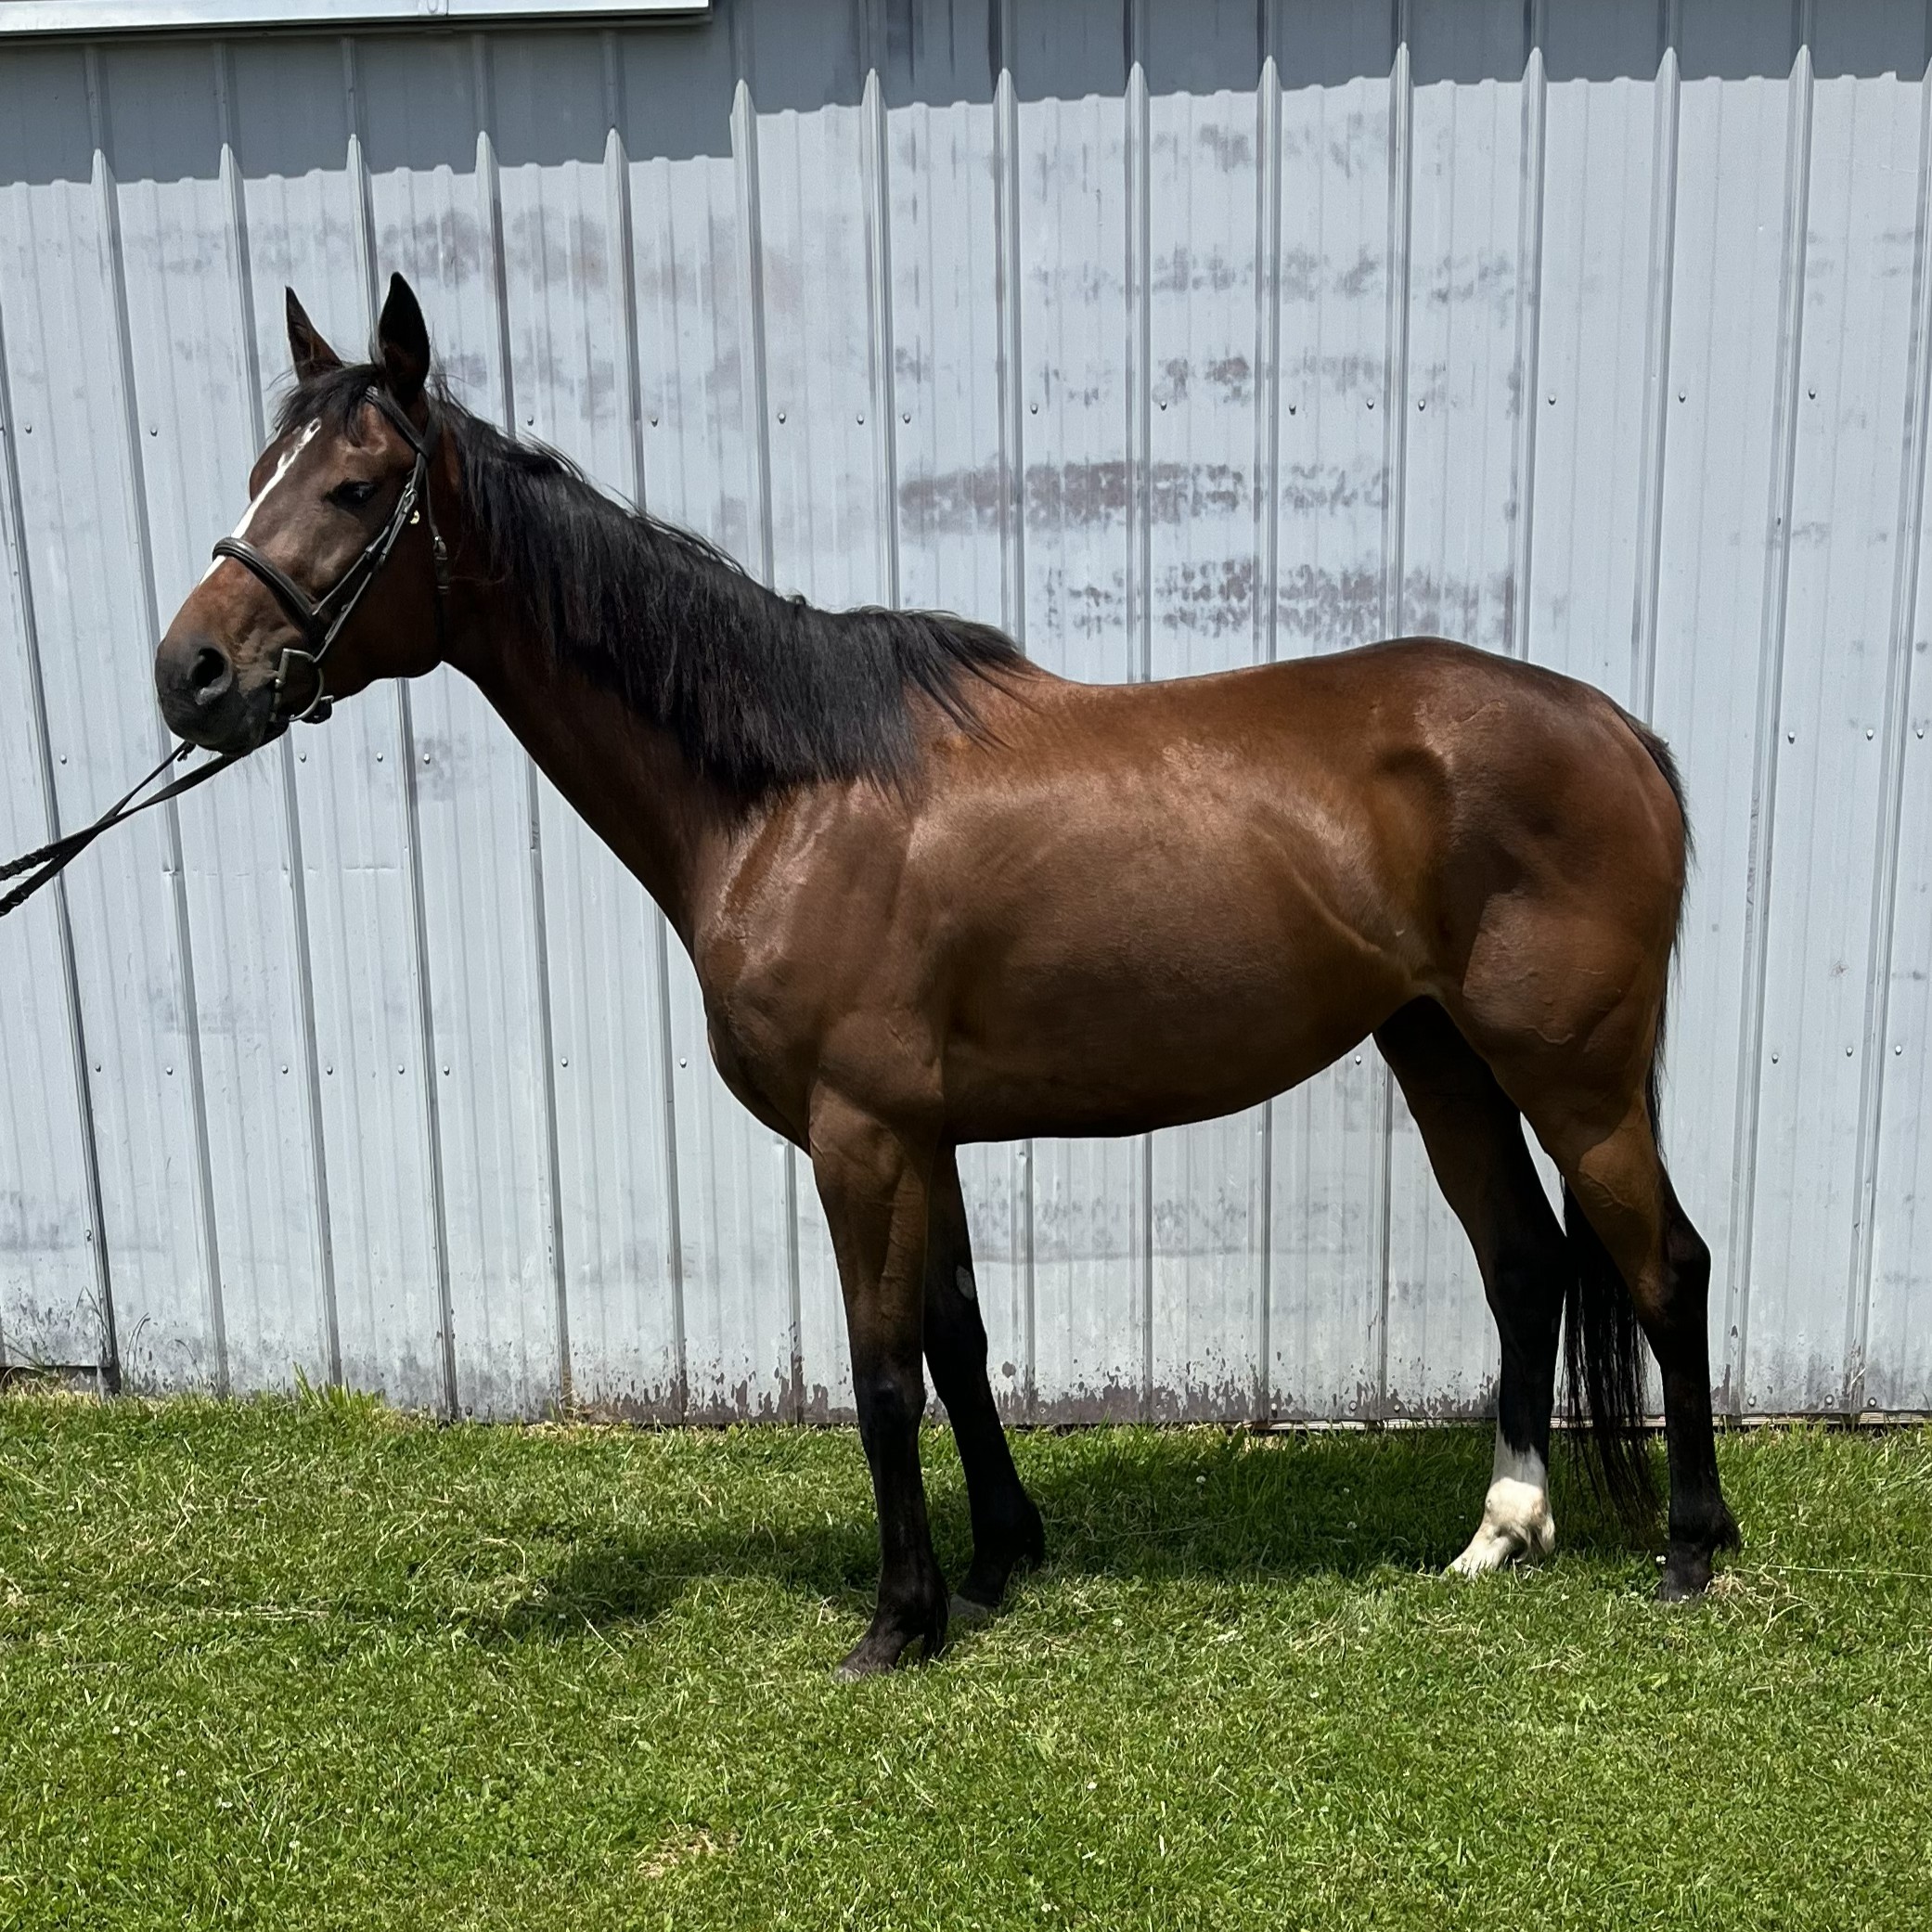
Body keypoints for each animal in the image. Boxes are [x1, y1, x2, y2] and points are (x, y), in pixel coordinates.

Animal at [152, 272, 1737, 1677]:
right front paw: (996, 1560)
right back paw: (1500, 1530)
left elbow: (880, 1374)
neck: (789, 792)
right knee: (1523, 1261)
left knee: (1662, 1262)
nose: (193, 674)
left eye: (357, 488)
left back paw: (1690, 1547)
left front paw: (897, 1618)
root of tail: (1614, 728)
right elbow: (962, 1341)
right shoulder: (927, 1131)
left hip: (1573, 1076)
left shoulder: (857, 1133)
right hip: (1438, 1050)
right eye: (262, 469)